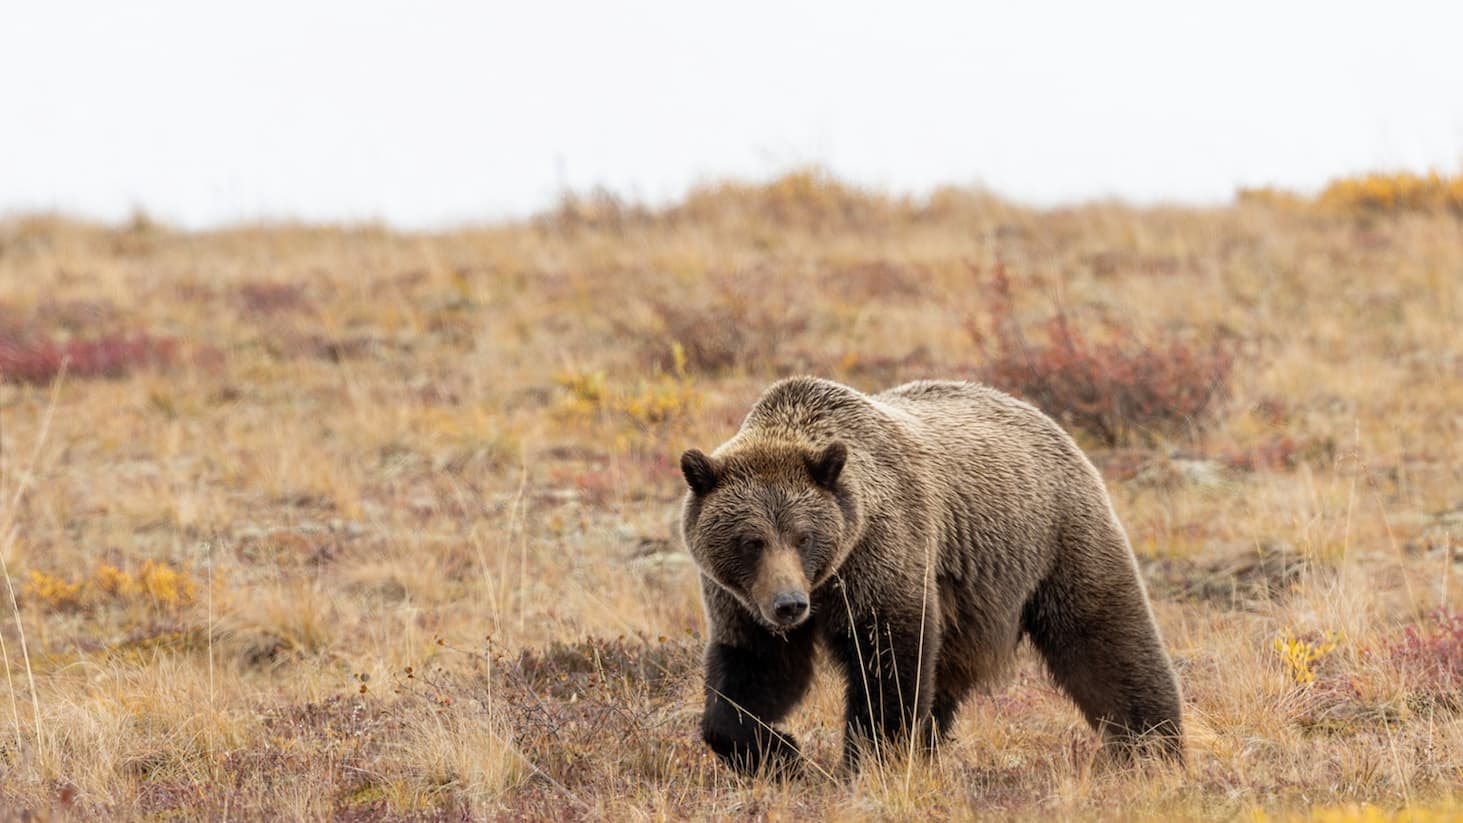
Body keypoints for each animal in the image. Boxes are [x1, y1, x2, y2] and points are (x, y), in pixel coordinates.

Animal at [679, 376, 1183, 775]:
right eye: (751, 540)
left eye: (804, 536)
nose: (789, 605)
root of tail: (1049, 420)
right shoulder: (743, 601)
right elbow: (753, 674)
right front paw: (780, 753)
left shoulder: (883, 556)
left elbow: (889, 662)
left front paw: (872, 760)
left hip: (1057, 541)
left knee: (1106, 643)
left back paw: (1156, 746)